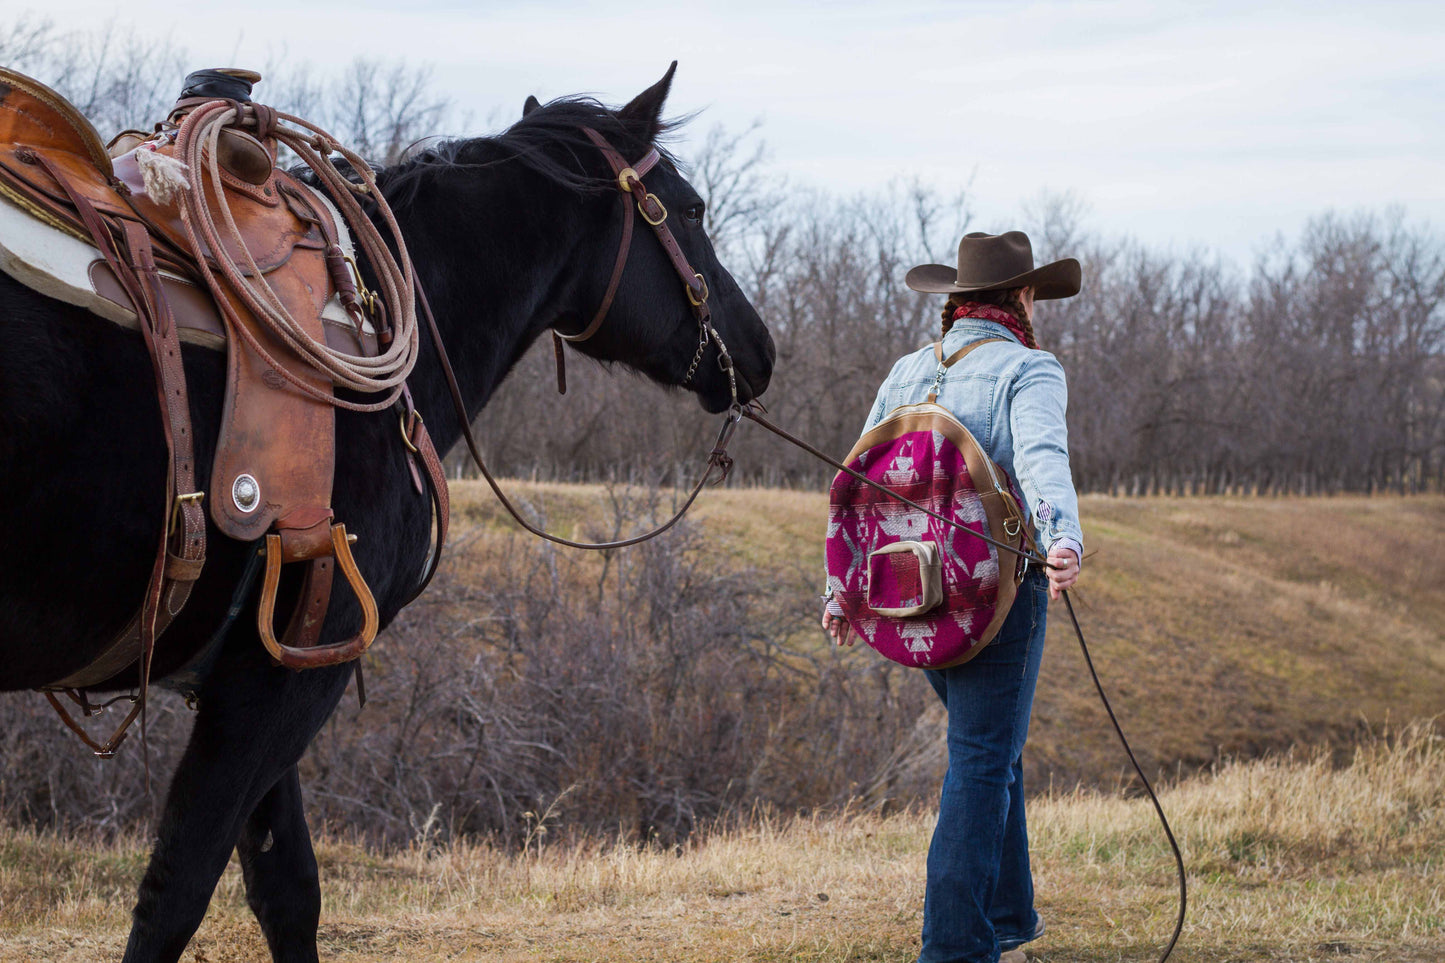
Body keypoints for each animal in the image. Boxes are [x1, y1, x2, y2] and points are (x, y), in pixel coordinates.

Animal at [0, 67, 774, 960]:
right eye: (691, 209)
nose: (760, 351)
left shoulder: (267, 659)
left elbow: (287, 889)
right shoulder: (288, 677)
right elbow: (178, 891)